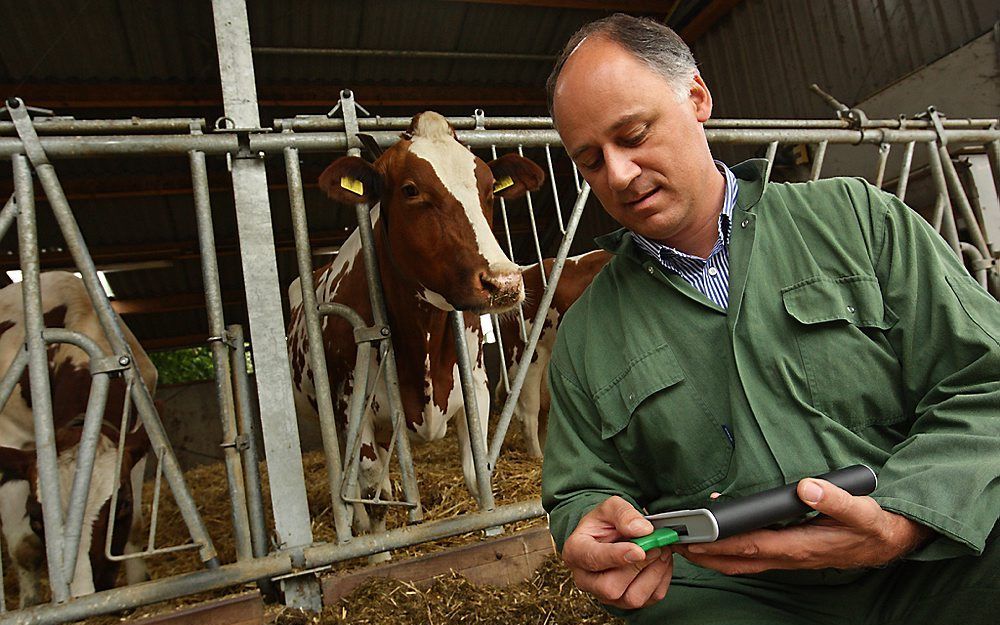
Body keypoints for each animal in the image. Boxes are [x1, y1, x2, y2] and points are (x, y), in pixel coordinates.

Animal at [0, 272, 153, 604]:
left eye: (121, 505)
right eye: (36, 519)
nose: (86, 593)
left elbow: (136, 527)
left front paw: (138, 584)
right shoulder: (11, 441)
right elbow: (24, 550)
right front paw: (30, 603)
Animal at [286, 109, 544, 540]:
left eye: (489, 189)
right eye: (410, 189)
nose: (504, 282)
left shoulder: (474, 384)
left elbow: (477, 474)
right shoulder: (348, 404)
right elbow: (371, 492)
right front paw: (380, 544)